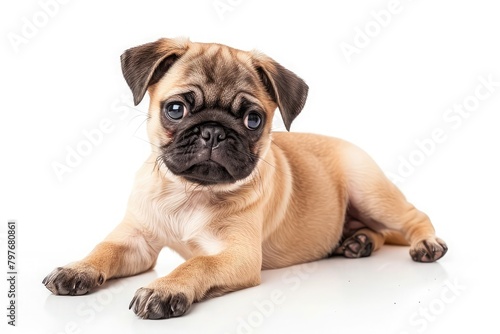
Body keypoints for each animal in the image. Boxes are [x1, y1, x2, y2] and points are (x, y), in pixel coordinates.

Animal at [44, 37, 450, 320]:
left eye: (253, 120)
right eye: (175, 109)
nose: (213, 131)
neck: (189, 193)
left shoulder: (237, 254)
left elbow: (196, 263)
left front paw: (167, 288)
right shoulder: (136, 241)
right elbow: (105, 250)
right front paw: (79, 268)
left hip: (369, 191)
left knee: (413, 217)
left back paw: (425, 243)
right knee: (376, 232)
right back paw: (359, 241)